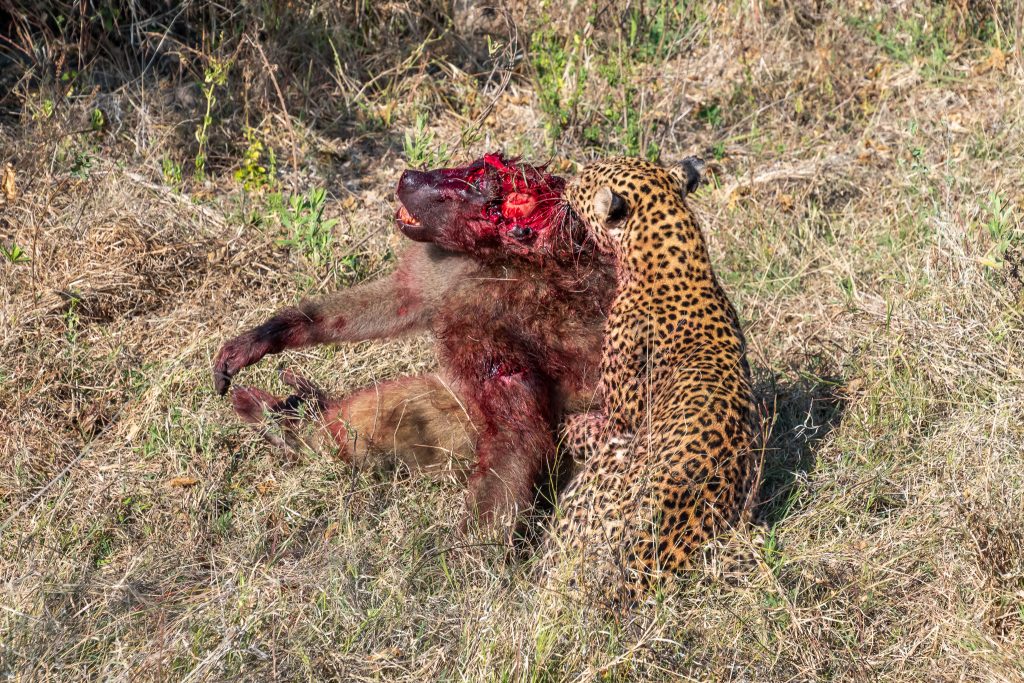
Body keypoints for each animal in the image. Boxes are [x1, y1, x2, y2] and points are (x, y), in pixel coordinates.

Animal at [214, 154, 615, 529]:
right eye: (474, 168)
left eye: (471, 188)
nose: (409, 177)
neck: (514, 261)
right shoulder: (452, 267)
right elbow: (398, 300)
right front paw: (270, 334)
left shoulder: (484, 321)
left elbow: (517, 436)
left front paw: (470, 555)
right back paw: (293, 413)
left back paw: (294, 427)